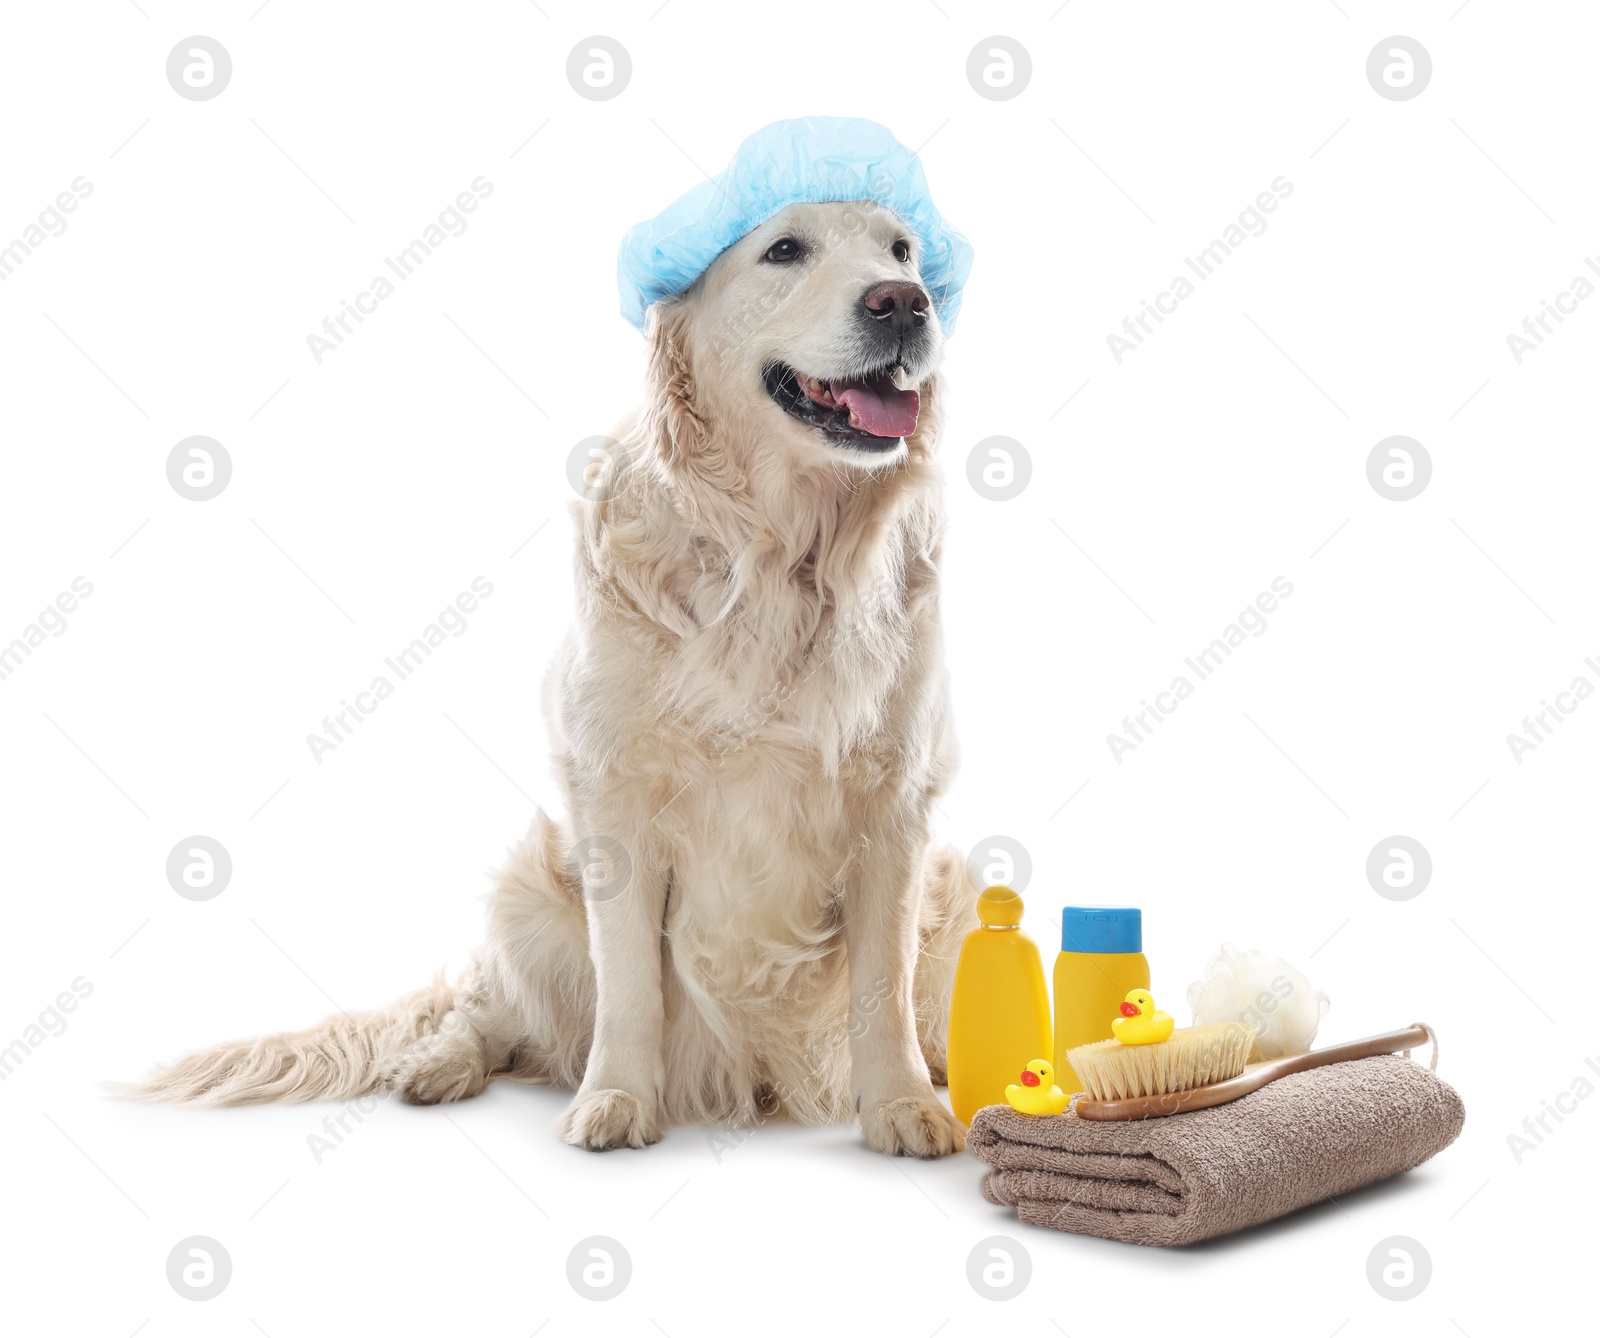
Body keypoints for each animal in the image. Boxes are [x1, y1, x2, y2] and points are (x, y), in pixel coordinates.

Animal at [137, 200, 979, 1158]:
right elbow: (630, 983)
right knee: (489, 1011)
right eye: (784, 250)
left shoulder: (897, 804)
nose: (905, 304)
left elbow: (882, 986)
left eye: (902, 251)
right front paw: (614, 1099)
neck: (780, 554)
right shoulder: (614, 794)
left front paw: (903, 1106)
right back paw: (439, 1063)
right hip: (527, 890)